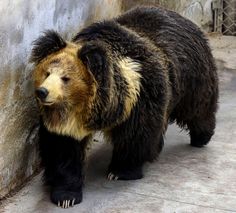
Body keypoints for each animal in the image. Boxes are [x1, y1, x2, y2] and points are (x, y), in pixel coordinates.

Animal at [30, 6, 218, 208]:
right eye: (47, 73)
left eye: (66, 78)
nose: (42, 92)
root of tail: (185, 20)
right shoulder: (64, 124)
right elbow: (63, 150)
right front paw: (66, 196)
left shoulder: (142, 96)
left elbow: (136, 136)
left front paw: (121, 171)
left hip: (192, 75)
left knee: (198, 107)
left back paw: (201, 137)